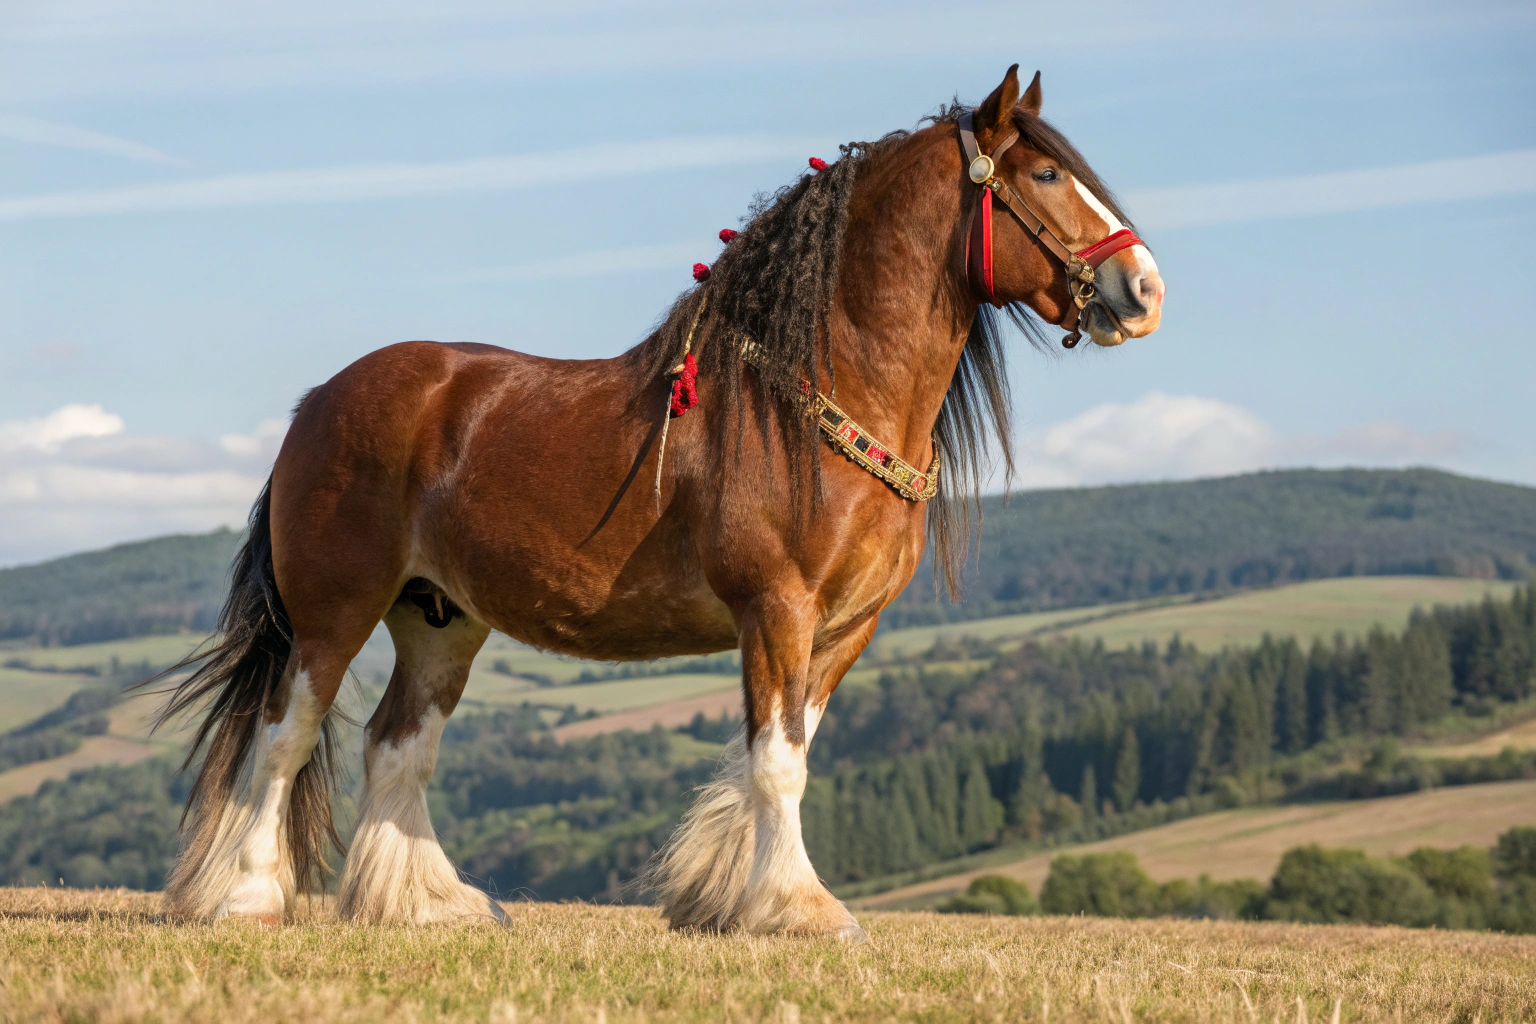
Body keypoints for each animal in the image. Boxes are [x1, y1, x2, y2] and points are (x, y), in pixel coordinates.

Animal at [152, 64, 1163, 936]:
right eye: (1045, 173)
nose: (1144, 289)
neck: (808, 400)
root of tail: (318, 403)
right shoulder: (777, 608)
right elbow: (777, 765)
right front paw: (796, 911)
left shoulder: (844, 628)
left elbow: (789, 751)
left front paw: (724, 898)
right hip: (336, 608)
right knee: (286, 735)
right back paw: (247, 897)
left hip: (439, 618)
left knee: (398, 743)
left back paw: (430, 904)